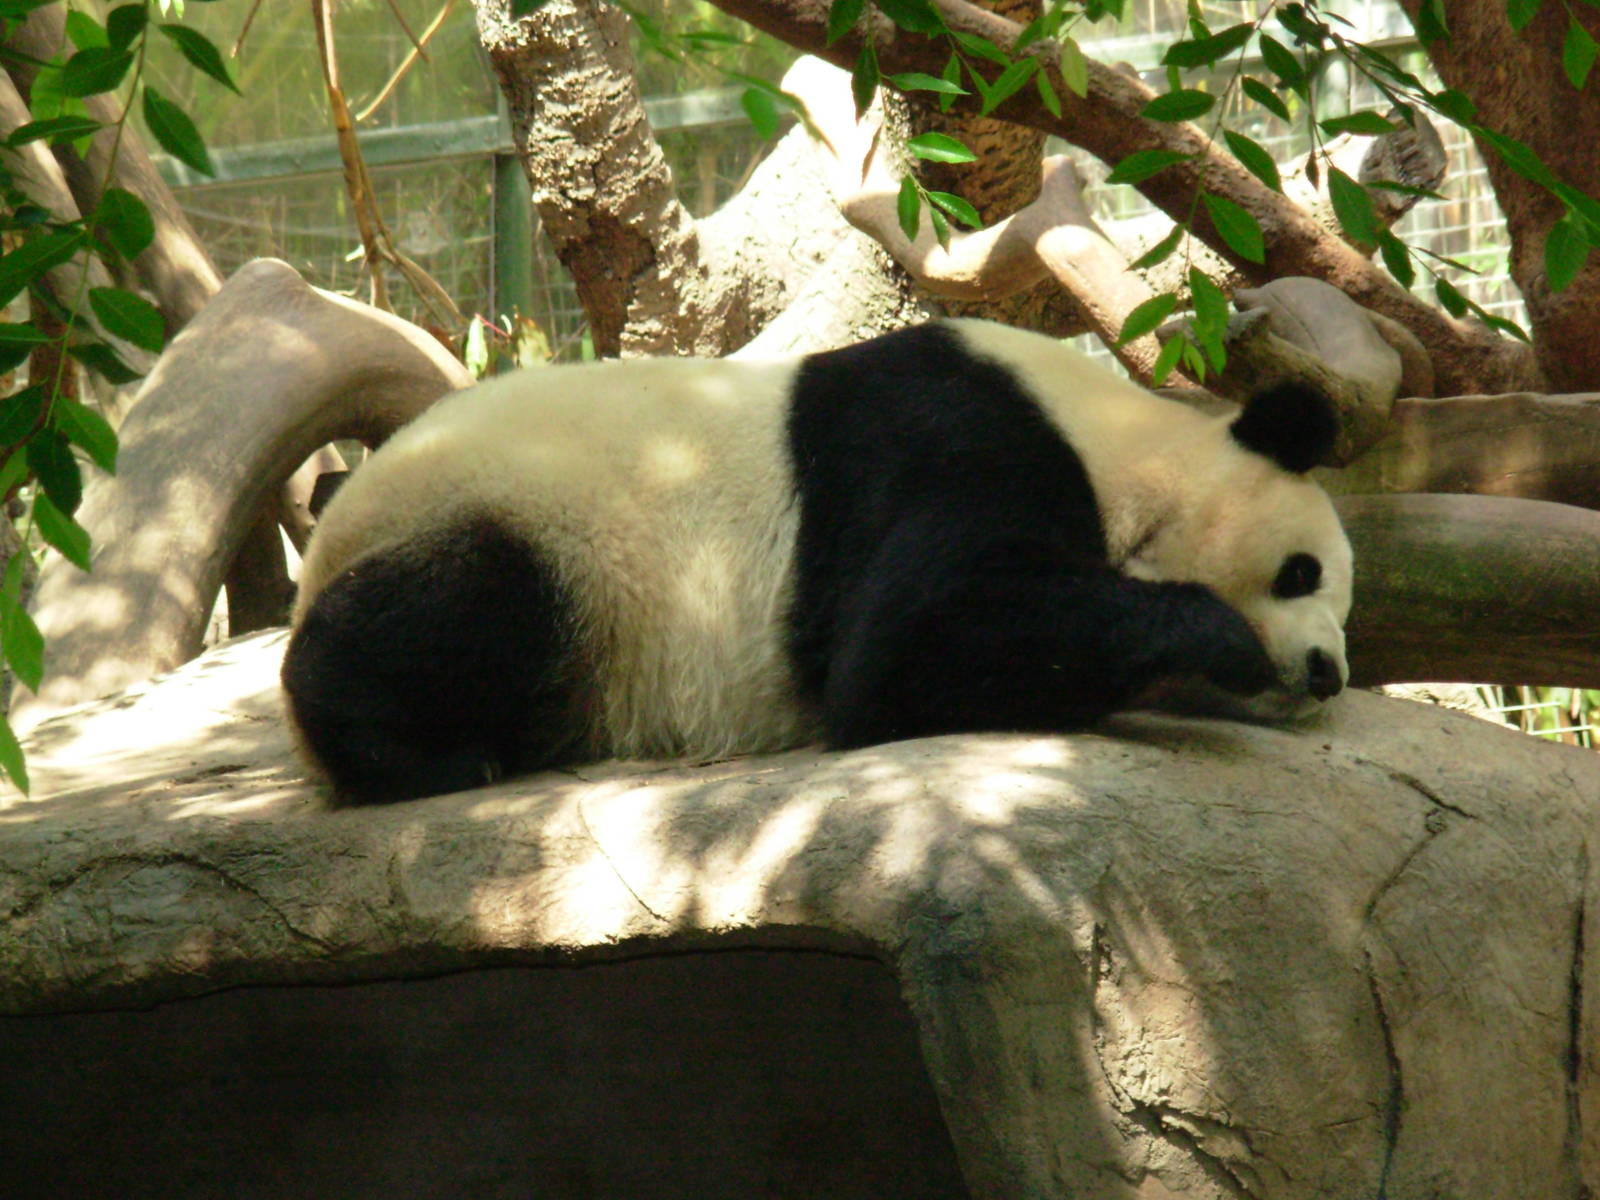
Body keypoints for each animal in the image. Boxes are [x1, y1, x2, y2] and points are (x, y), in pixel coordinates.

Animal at [282, 318, 1353, 804]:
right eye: (1300, 572)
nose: (1329, 672)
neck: (1123, 442)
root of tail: (324, 539)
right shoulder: (963, 439)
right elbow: (898, 653)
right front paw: (1214, 636)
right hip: (542, 531)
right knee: (453, 613)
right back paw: (430, 755)